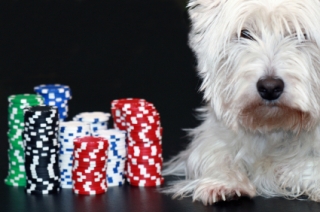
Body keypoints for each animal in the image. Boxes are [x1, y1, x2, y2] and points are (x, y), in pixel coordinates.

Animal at [165, 0, 320, 205]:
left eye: (300, 34)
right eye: (245, 33)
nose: (269, 87)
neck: (273, 127)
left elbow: (302, 165)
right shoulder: (213, 137)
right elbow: (217, 156)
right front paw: (223, 184)